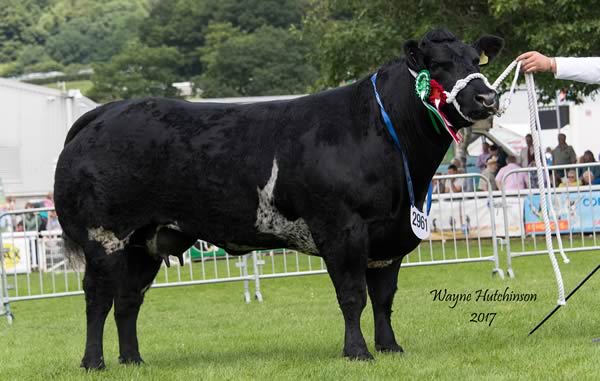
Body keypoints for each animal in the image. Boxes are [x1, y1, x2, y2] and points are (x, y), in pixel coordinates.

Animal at [56, 29, 504, 368]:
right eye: (439, 64)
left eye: (476, 62)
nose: (487, 98)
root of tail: (104, 112)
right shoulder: (341, 230)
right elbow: (353, 296)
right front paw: (357, 352)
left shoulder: (390, 236)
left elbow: (383, 297)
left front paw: (390, 346)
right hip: (104, 236)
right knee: (97, 297)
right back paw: (93, 362)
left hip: (145, 240)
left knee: (128, 299)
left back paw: (133, 360)